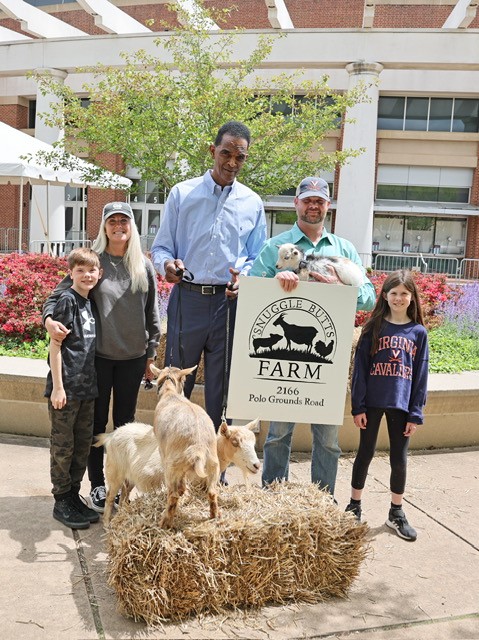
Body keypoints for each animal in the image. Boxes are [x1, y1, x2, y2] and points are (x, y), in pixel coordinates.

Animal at [151, 364, 222, 528]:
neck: (170, 393)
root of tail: (198, 447)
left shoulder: (163, 451)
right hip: (213, 465)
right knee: (212, 492)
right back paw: (214, 516)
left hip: (171, 466)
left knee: (173, 496)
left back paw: (165, 522)